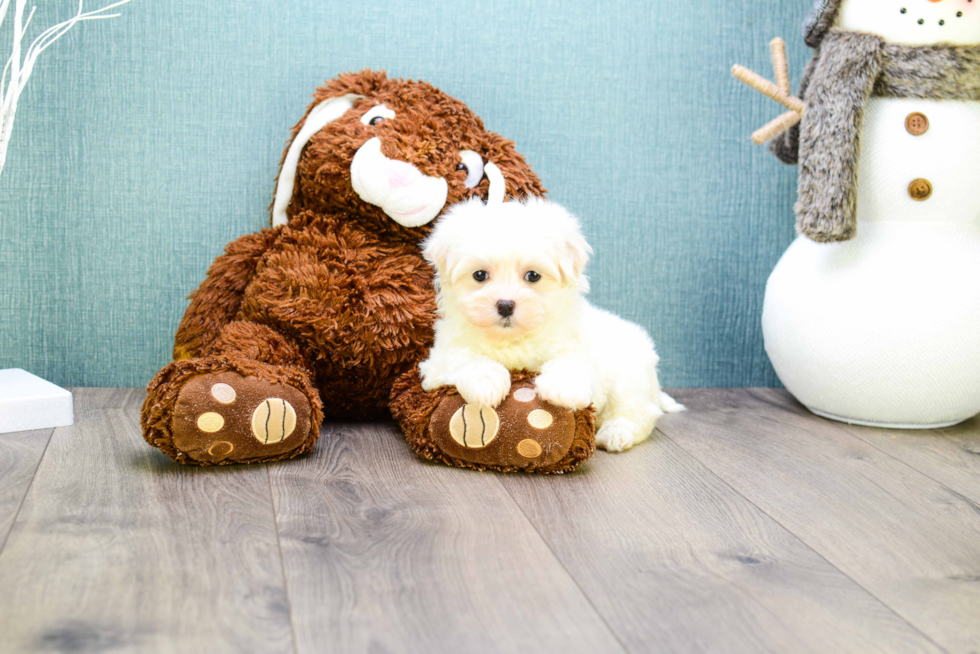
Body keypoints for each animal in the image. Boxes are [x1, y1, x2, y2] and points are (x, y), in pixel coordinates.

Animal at [418, 192, 684, 454]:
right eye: (480, 275)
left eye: (533, 275)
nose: (505, 305)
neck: (513, 340)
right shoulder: (438, 360)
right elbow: (464, 358)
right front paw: (486, 381)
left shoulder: (579, 347)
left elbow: (571, 361)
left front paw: (561, 387)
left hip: (628, 378)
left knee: (639, 412)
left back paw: (616, 433)